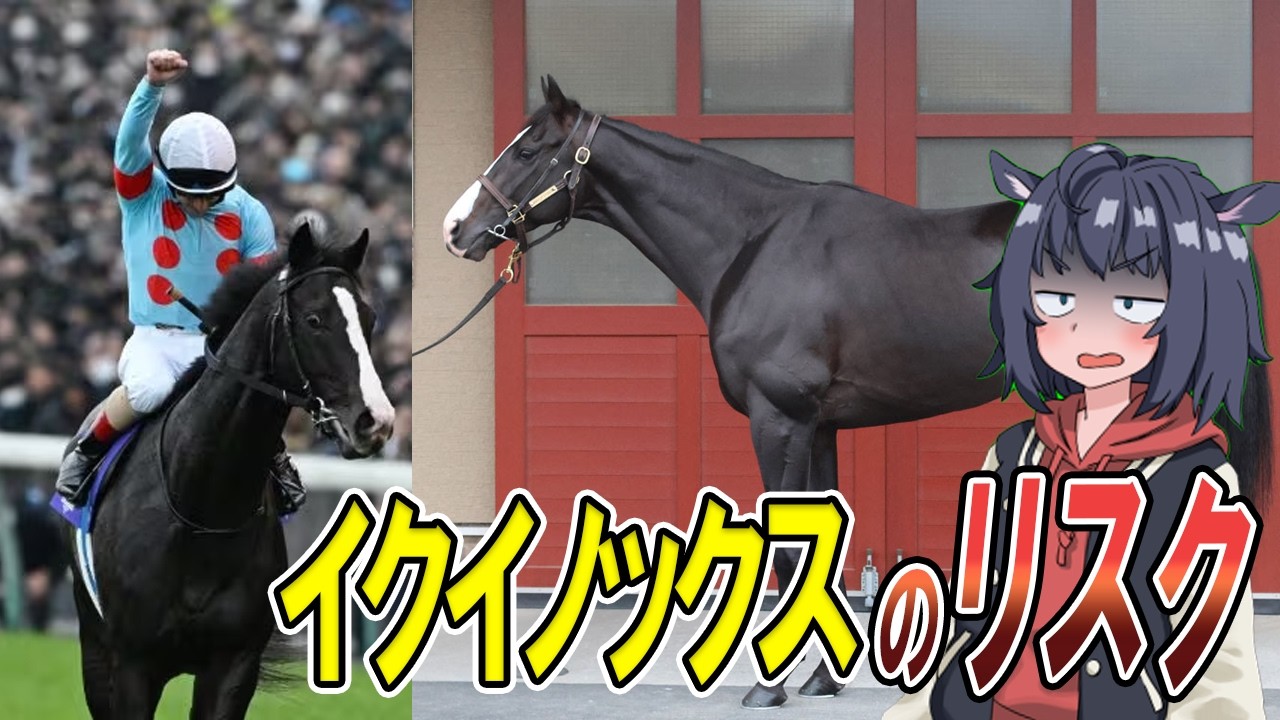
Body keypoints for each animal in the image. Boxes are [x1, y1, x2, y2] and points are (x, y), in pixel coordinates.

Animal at [65, 221, 395, 718]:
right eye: (314, 320)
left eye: (370, 319)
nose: (375, 421)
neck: (202, 509)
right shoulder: (130, 663)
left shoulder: (234, 663)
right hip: (94, 648)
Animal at [441, 77, 1271, 708]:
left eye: (529, 149)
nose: (454, 229)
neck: (754, 242)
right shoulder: (819, 427)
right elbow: (820, 549)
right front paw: (819, 679)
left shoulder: (778, 422)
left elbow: (784, 552)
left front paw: (769, 687)